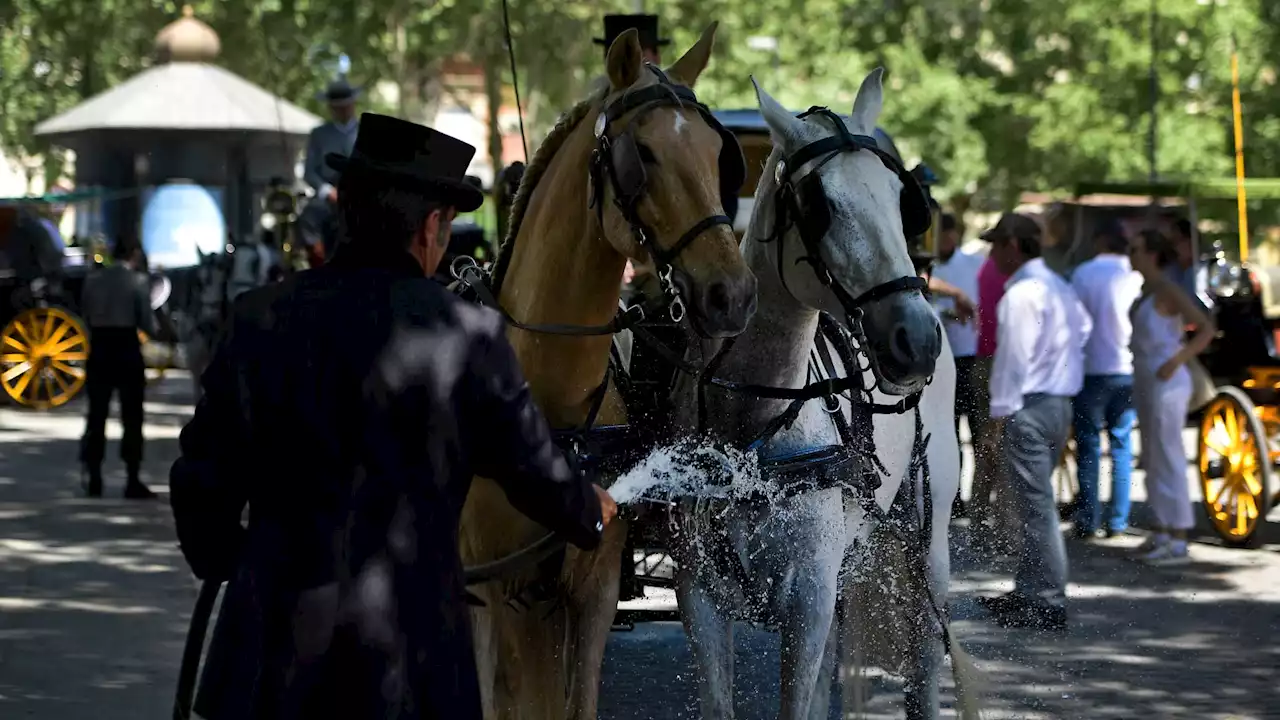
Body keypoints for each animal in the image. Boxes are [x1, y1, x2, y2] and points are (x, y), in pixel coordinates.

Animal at [665, 68, 972, 717]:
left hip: (926, 542)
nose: (916, 341)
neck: (754, 431)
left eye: (902, 199)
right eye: (818, 204)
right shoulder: (698, 595)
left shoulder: (806, 602)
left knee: (925, 657)